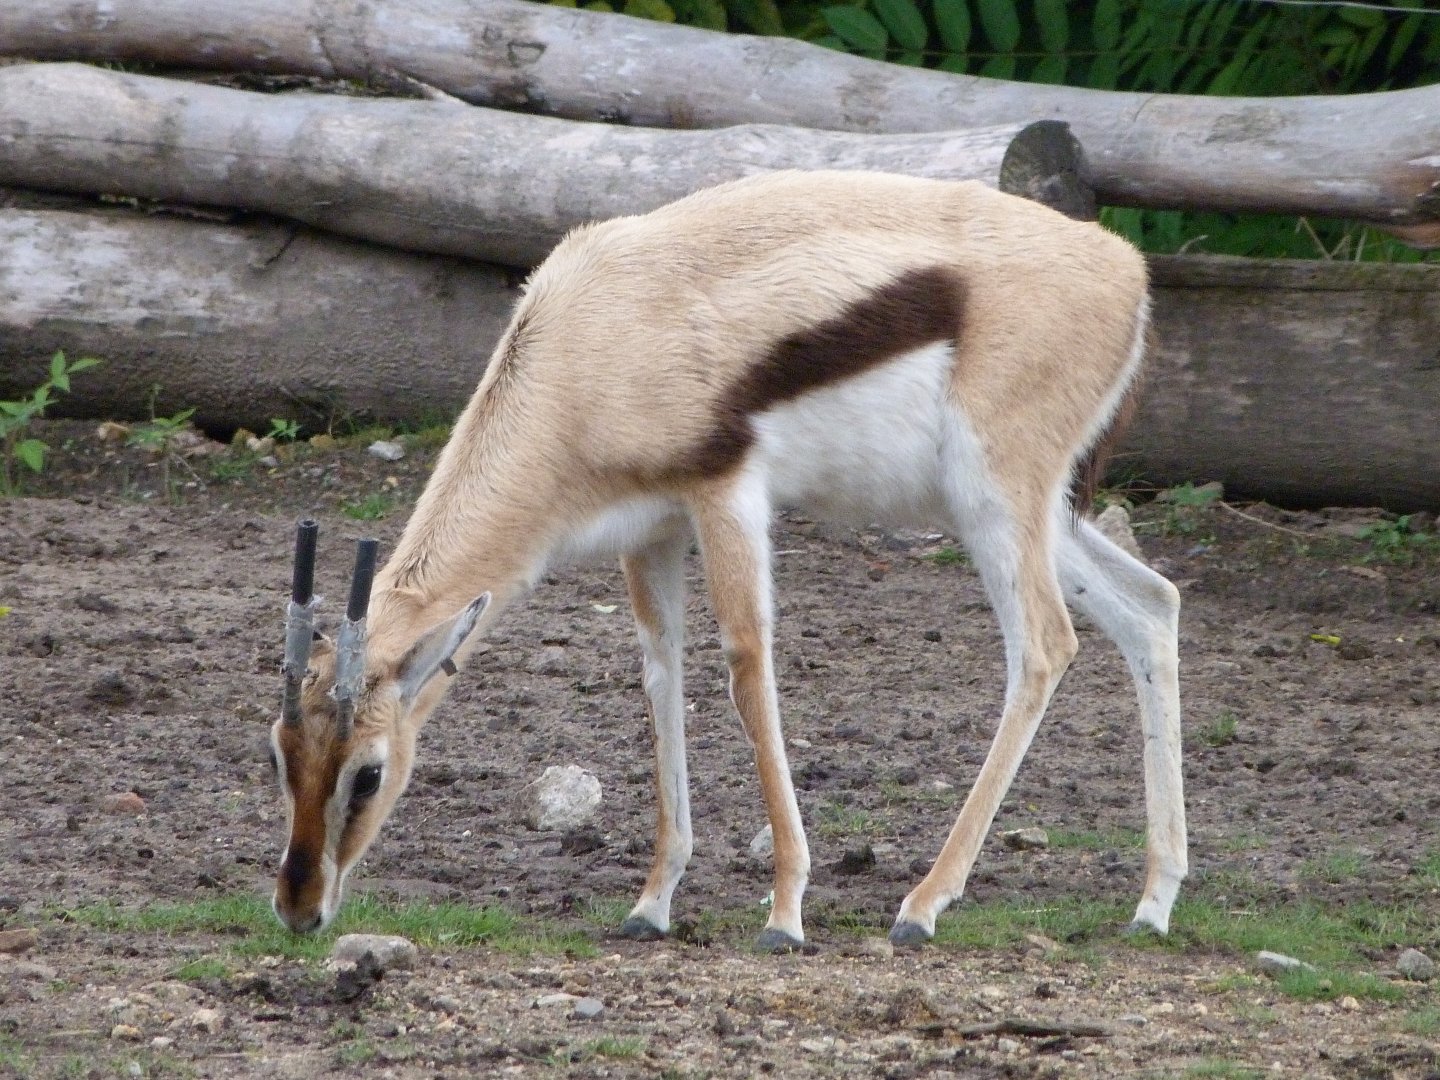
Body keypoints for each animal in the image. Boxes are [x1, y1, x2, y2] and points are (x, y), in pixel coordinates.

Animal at [268, 170, 1186, 949]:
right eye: (279, 755)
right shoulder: (652, 532)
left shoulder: (727, 495)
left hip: (993, 500)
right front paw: (652, 902)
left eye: (368, 773)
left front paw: (784, 913)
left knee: (1044, 646)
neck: (586, 343)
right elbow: (661, 676)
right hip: (1029, 512)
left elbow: (747, 665)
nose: (300, 908)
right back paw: (1155, 901)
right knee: (1153, 606)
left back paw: (923, 906)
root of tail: (1127, 268)